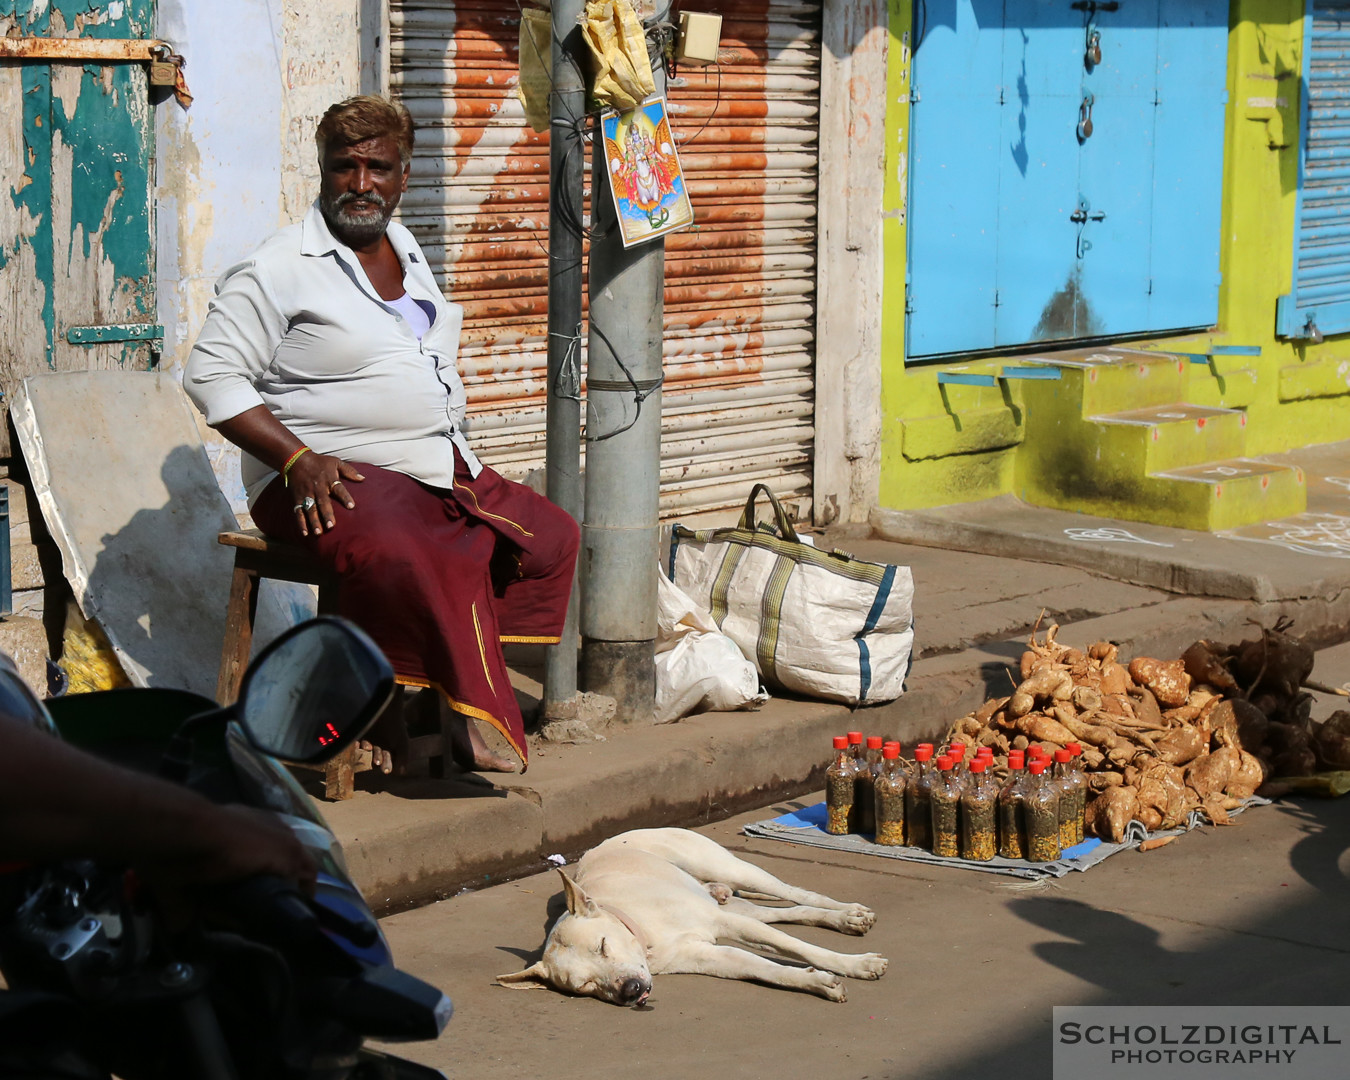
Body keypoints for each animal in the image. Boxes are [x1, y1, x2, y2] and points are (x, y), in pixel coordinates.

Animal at [496, 826, 885, 1004]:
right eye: (585, 986)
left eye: (603, 946)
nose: (630, 991)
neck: (646, 937)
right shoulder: (712, 954)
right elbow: (765, 969)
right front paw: (816, 982)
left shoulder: (725, 923)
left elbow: (800, 949)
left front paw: (856, 964)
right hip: (731, 902)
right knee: (781, 913)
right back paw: (842, 919)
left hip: (724, 867)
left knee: (797, 894)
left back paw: (847, 912)